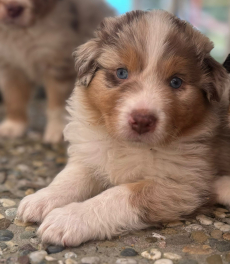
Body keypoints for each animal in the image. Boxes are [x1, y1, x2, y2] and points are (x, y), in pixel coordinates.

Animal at [0, 0, 114, 142]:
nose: (13, 9)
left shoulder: (59, 64)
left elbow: (58, 103)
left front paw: (59, 130)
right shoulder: (10, 68)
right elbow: (14, 98)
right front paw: (14, 125)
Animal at [17, 9, 230, 245]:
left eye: (176, 82)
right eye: (121, 73)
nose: (142, 120)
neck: (128, 145)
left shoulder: (182, 184)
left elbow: (118, 195)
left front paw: (68, 218)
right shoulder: (91, 153)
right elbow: (70, 177)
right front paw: (42, 198)